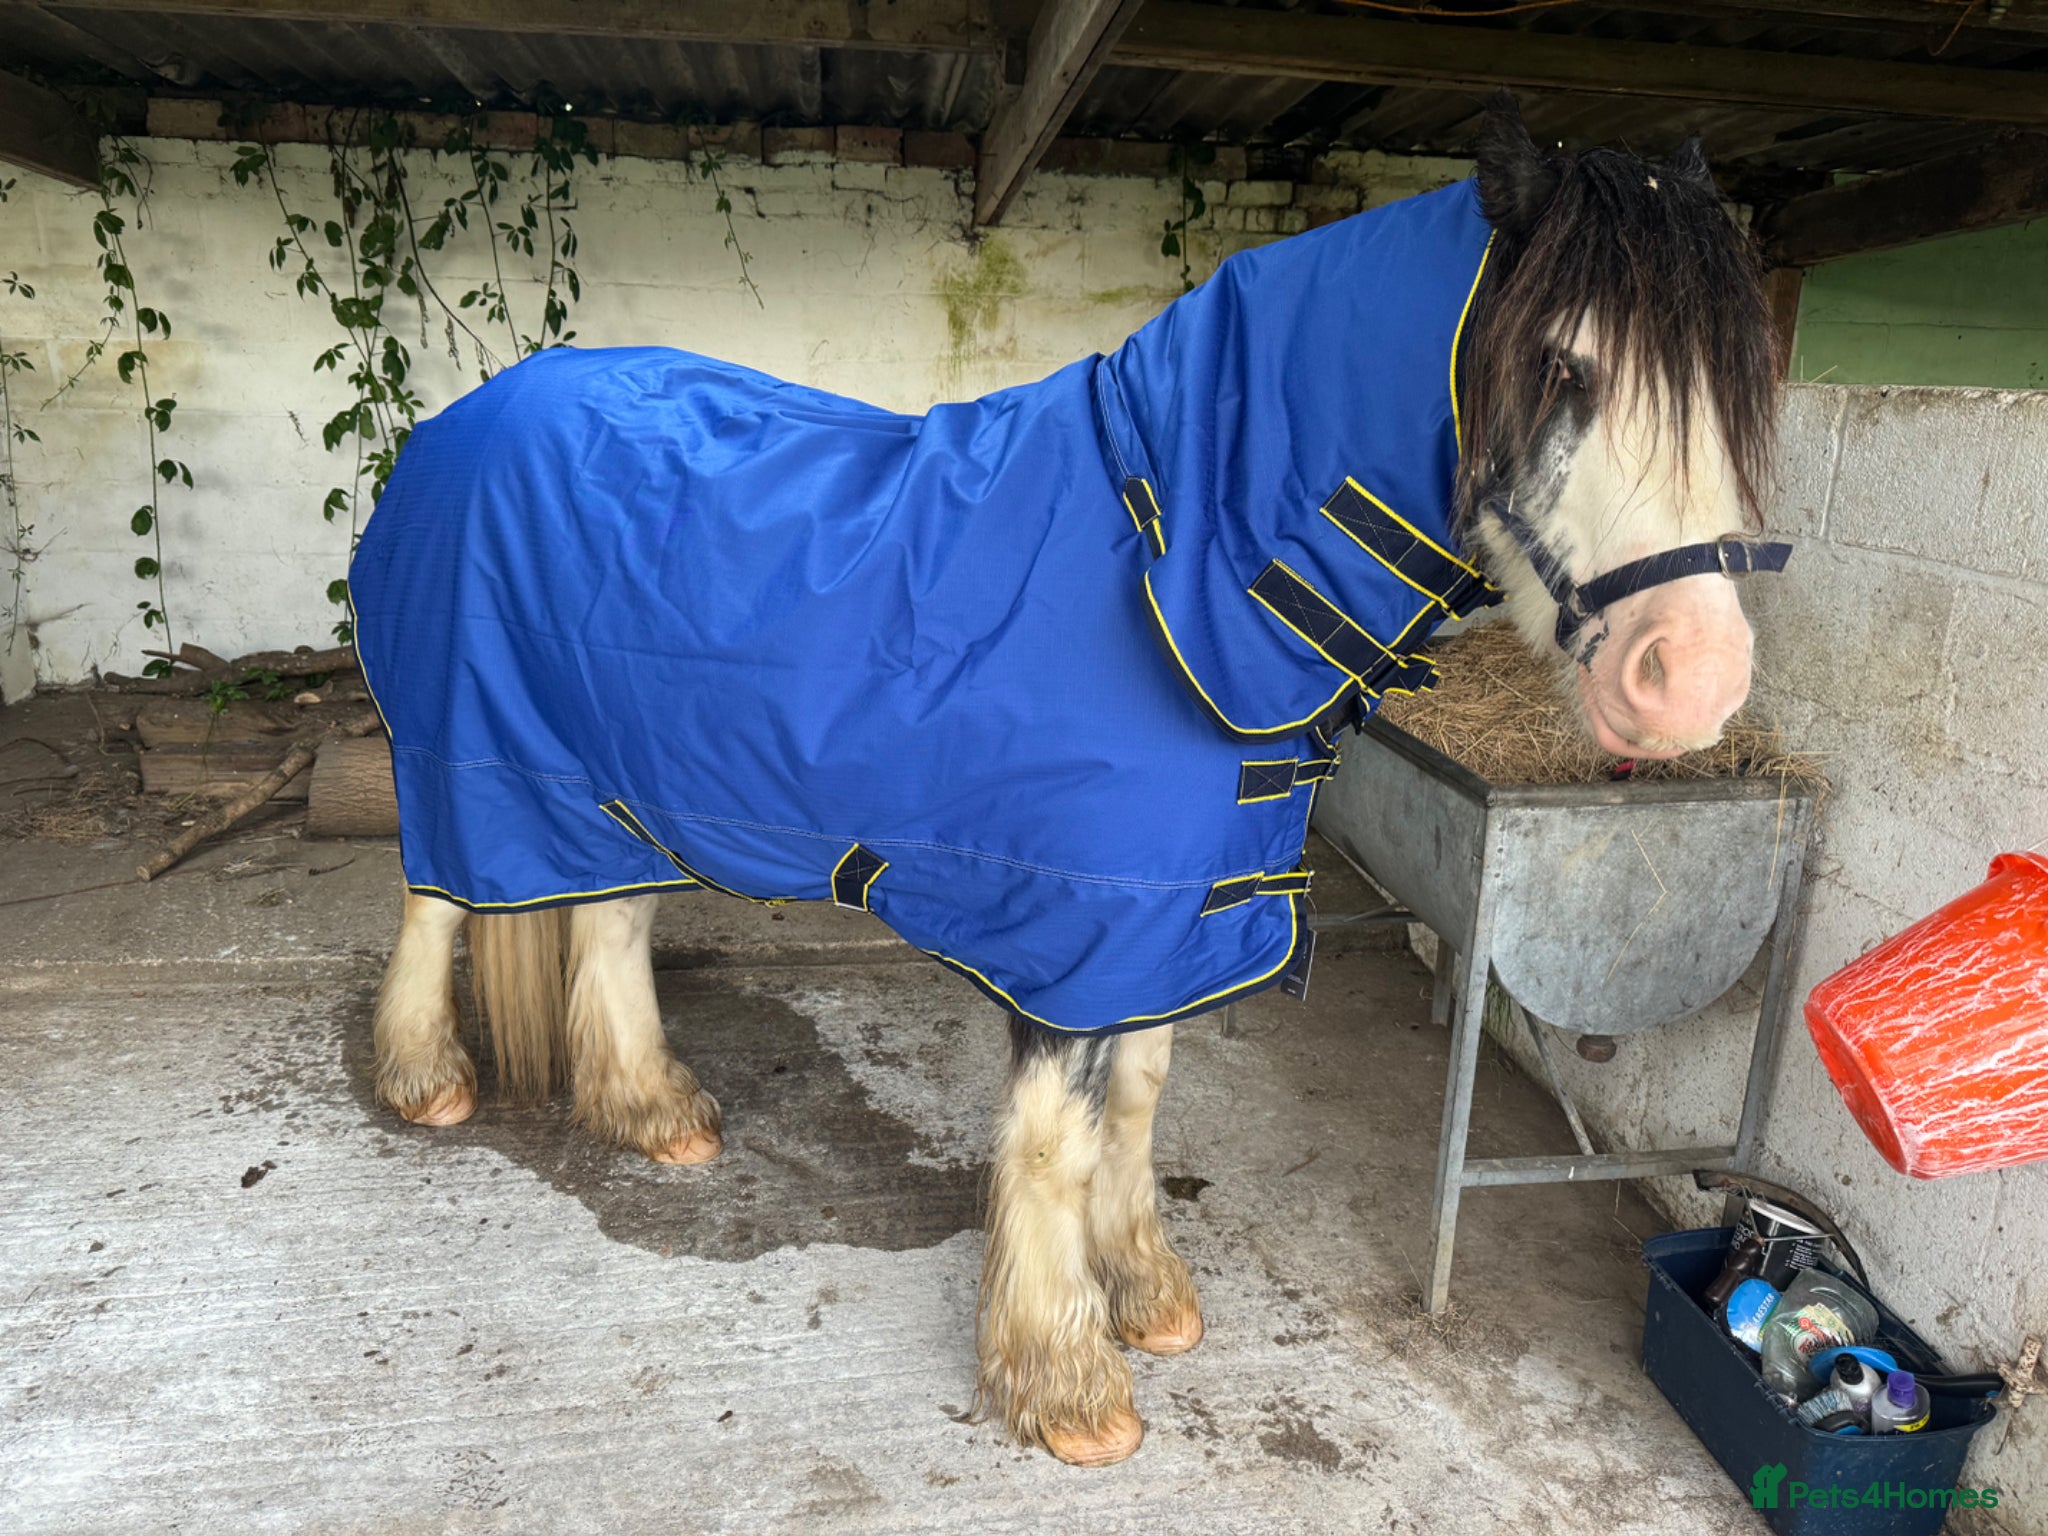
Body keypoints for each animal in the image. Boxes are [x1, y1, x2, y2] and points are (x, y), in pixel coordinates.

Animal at [351, 97, 1784, 1468]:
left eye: (1737, 387)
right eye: (1563, 363)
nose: (1692, 677)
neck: (1173, 568)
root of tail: (461, 423)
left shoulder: (1172, 911)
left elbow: (1136, 1101)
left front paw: (1144, 1293)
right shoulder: (1072, 921)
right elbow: (1053, 1137)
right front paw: (1061, 1378)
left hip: (616, 783)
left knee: (608, 925)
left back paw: (650, 1112)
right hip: (471, 758)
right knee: (435, 898)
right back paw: (426, 1079)